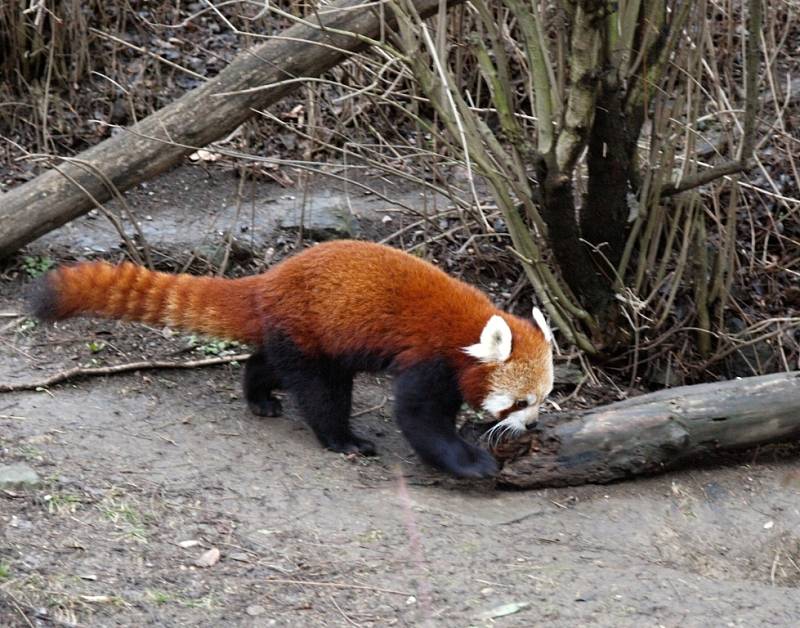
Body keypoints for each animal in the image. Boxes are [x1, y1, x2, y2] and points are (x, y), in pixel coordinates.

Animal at [34, 239, 552, 476]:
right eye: (521, 402)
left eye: (544, 399)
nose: (532, 425)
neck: (467, 331)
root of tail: (269, 279)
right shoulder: (429, 358)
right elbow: (418, 417)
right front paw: (469, 461)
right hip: (310, 329)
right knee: (321, 391)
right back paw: (342, 439)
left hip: (312, 336)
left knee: (269, 362)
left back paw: (258, 396)